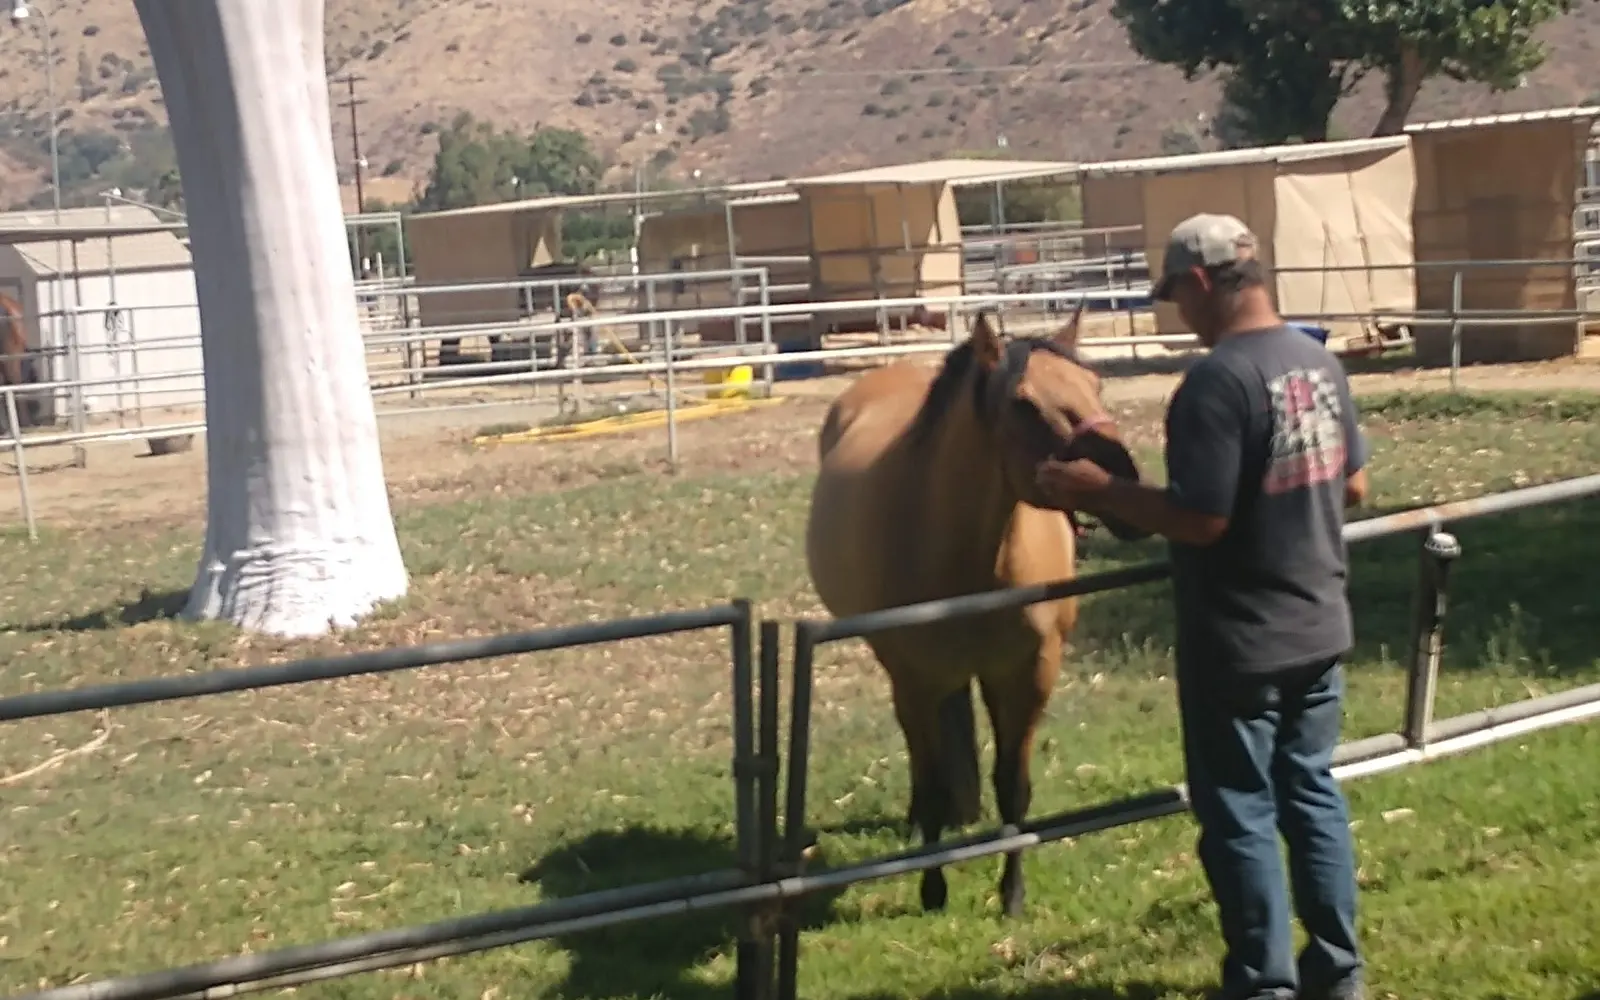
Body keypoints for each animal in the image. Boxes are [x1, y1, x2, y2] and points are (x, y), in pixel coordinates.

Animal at [803, 303, 1146, 918]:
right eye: (1024, 404)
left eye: (1096, 385)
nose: (1123, 485)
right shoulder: (917, 682)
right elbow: (934, 782)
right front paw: (932, 889)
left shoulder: (1027, 673)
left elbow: (1014, 784)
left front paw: (1012, 894)